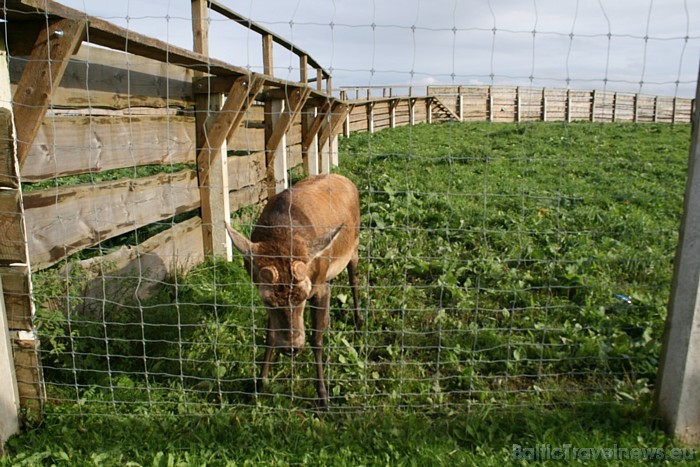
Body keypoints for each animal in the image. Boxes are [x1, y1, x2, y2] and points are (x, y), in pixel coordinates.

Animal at [226, 174, 360, 408]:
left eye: (303, 296)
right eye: (267, 301)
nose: (291, 348)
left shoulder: (320, 287)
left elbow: (317, 340)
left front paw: (323, 397)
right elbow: (270, 336)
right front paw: (259, 385)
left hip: (355, 245)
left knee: (354, 279)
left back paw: (360, 320)